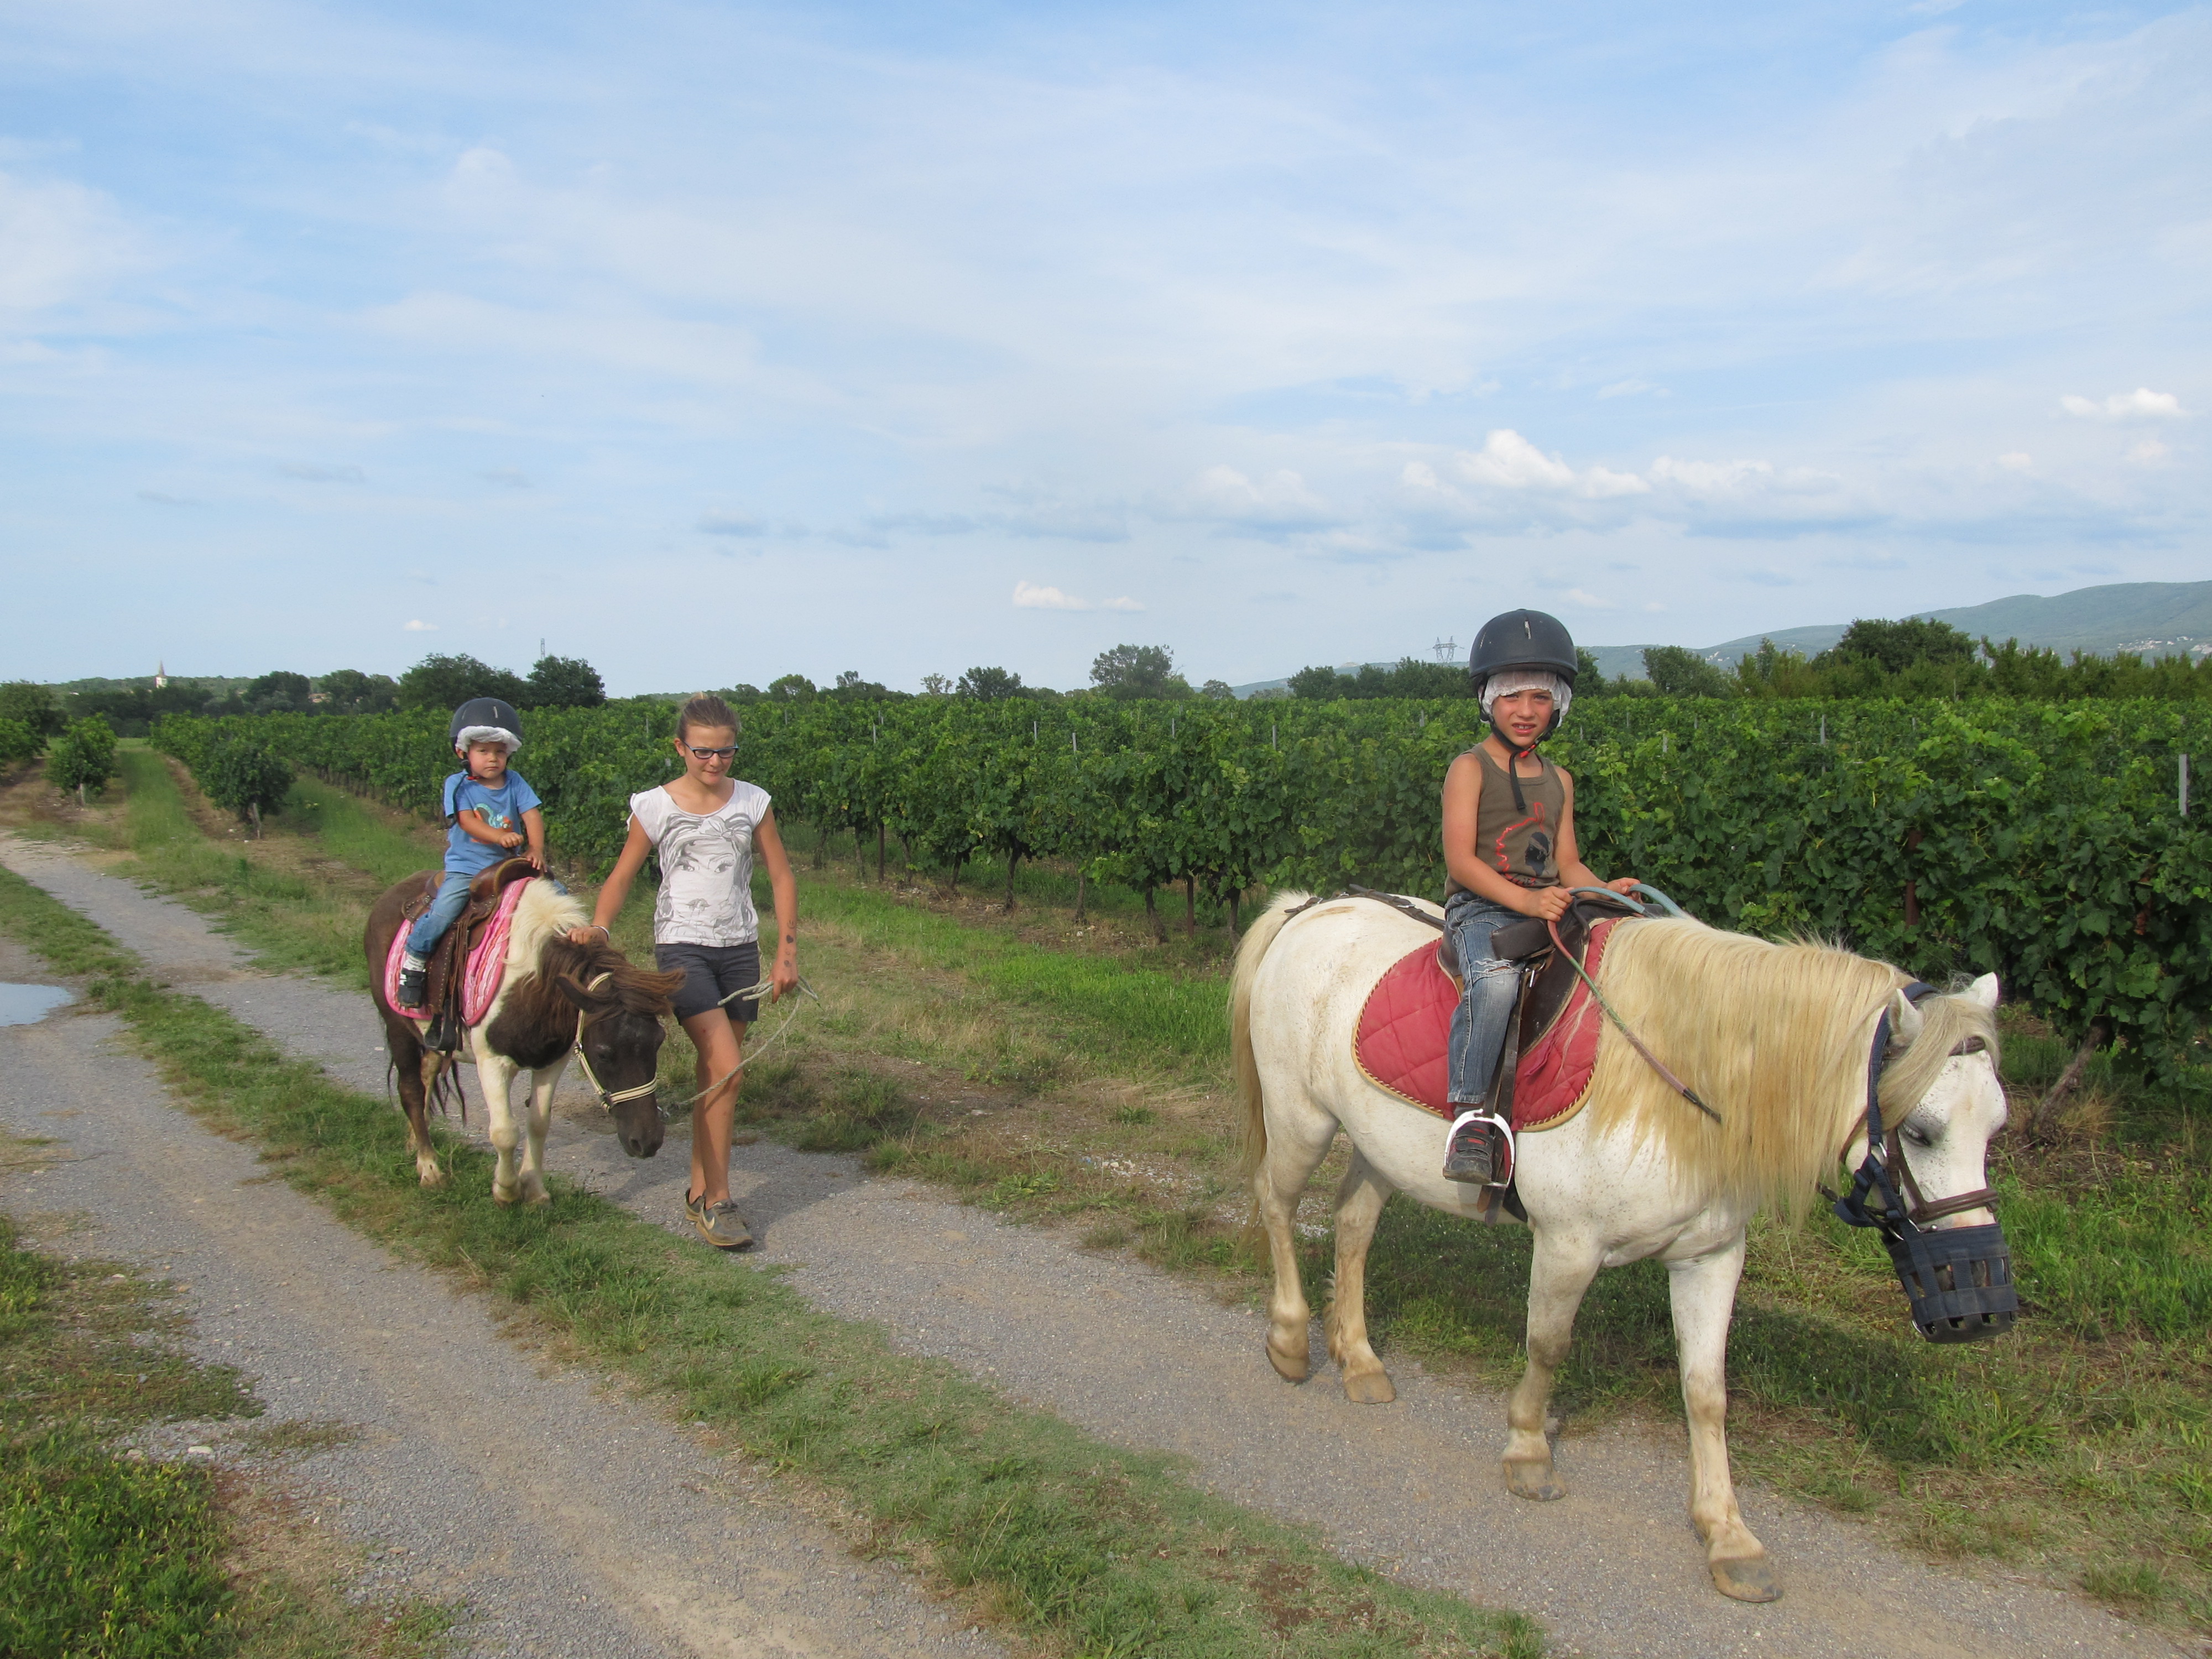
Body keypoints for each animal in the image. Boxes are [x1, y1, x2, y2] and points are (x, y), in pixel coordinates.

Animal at [367, 876, 677, 1203]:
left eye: (658, 1042)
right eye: (604, 1053)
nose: (647, 1142)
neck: (532, 985)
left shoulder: (552, 1063)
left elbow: (538, 1124)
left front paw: (535, 1190)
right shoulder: (492, 1063)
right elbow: (505, 1132)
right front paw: (506, 1191)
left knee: (426, 1076)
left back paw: (416, 1142)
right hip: (397, 1027)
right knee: (411, 1090)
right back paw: (429, 1167)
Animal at [1239, 898, 2017, 1610]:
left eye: (1995, 1127)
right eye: (1919, 1131)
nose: (1983, 1304)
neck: (1679, 1084)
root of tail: (1309, 908)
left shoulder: (1710, 1258)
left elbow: (1706, 1392)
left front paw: (1728, 1536)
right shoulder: (1568, 1244)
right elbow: (1548, 1346)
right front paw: (1528, 1451)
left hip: (1378, 1150)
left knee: (1352, 1228)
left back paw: (1360, 1360)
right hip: (1302, 1122)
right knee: (1277, 1206)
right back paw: (1290, 1340)